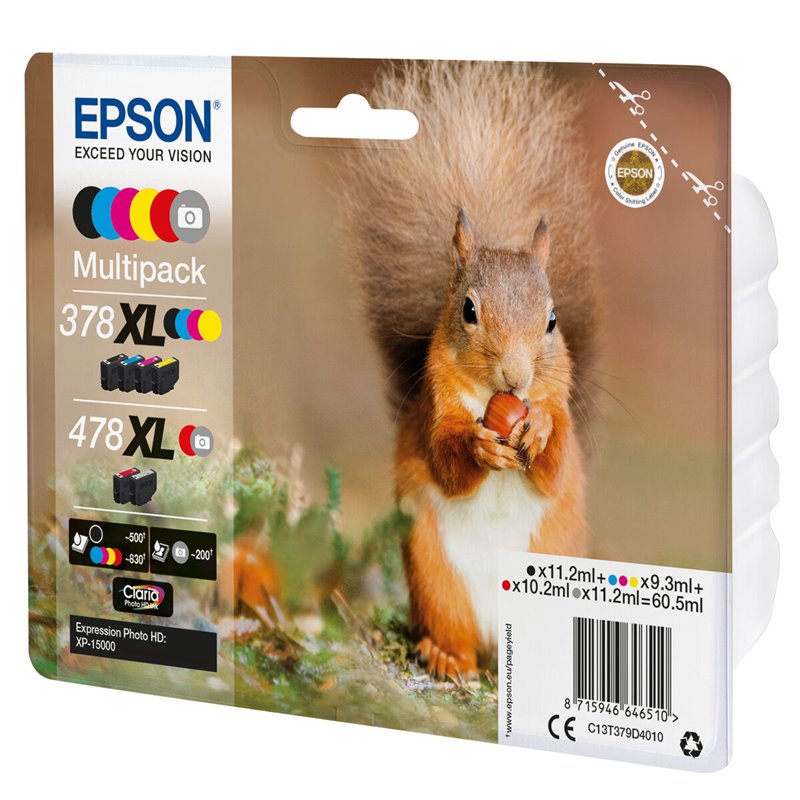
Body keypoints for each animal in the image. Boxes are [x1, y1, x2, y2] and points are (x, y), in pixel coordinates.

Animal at [339, 61, 600, 681]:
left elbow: (554, 467)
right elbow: (445, 458)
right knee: (451, 628)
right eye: (468, 310)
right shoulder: (436, 408)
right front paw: (480, 448)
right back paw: (446, 655)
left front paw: (538, 429)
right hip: (436, 576)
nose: (517, 377)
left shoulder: (559, 408)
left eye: (552, 320)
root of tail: (492, 643)